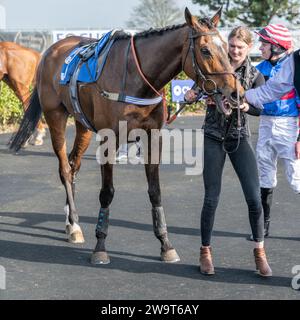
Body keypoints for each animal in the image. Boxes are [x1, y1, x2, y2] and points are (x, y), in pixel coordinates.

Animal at [9, 8, 244, 264]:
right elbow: (107, 192)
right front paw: (100, 245)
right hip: (56, 116)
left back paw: (71, 221)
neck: (136, 78)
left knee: (73, 165)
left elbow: (155, 191)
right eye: (205, 50)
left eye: (226, 47)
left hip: (82, 123)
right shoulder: (108, 139)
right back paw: (74, 226)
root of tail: (50, 51)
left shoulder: (152, 137)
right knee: (64, 168)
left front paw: (165, 244)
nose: (236, 92)